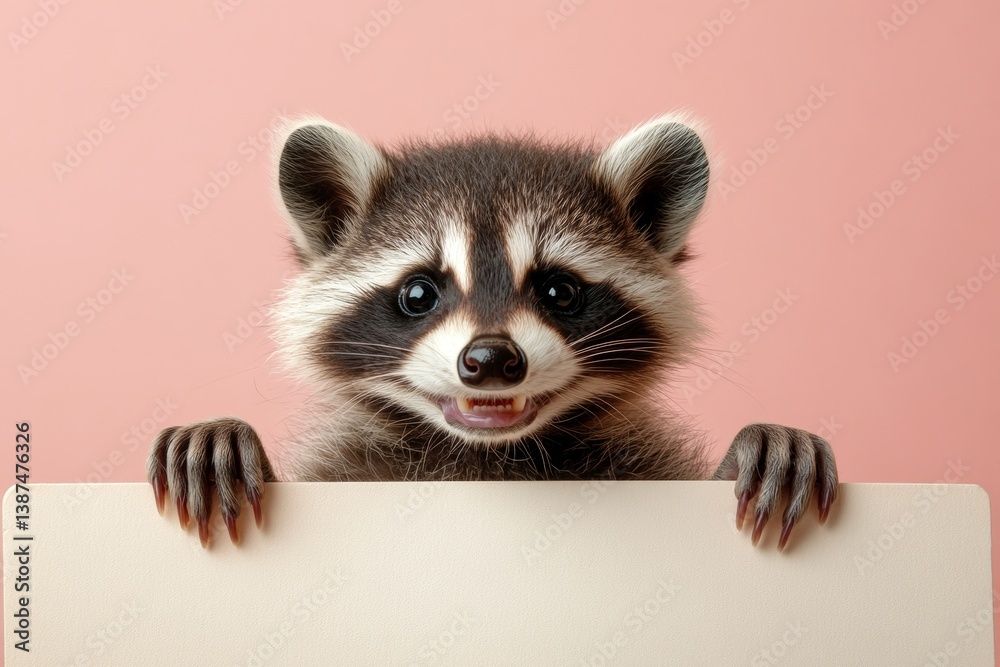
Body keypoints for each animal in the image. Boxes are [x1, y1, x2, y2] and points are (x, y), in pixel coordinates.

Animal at [146, 114, 838, 551]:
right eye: (419, 293)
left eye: (558, 291)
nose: (490, 360)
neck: (489, 459)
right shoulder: (354, 469)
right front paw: (231, 436)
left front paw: (753, 446)